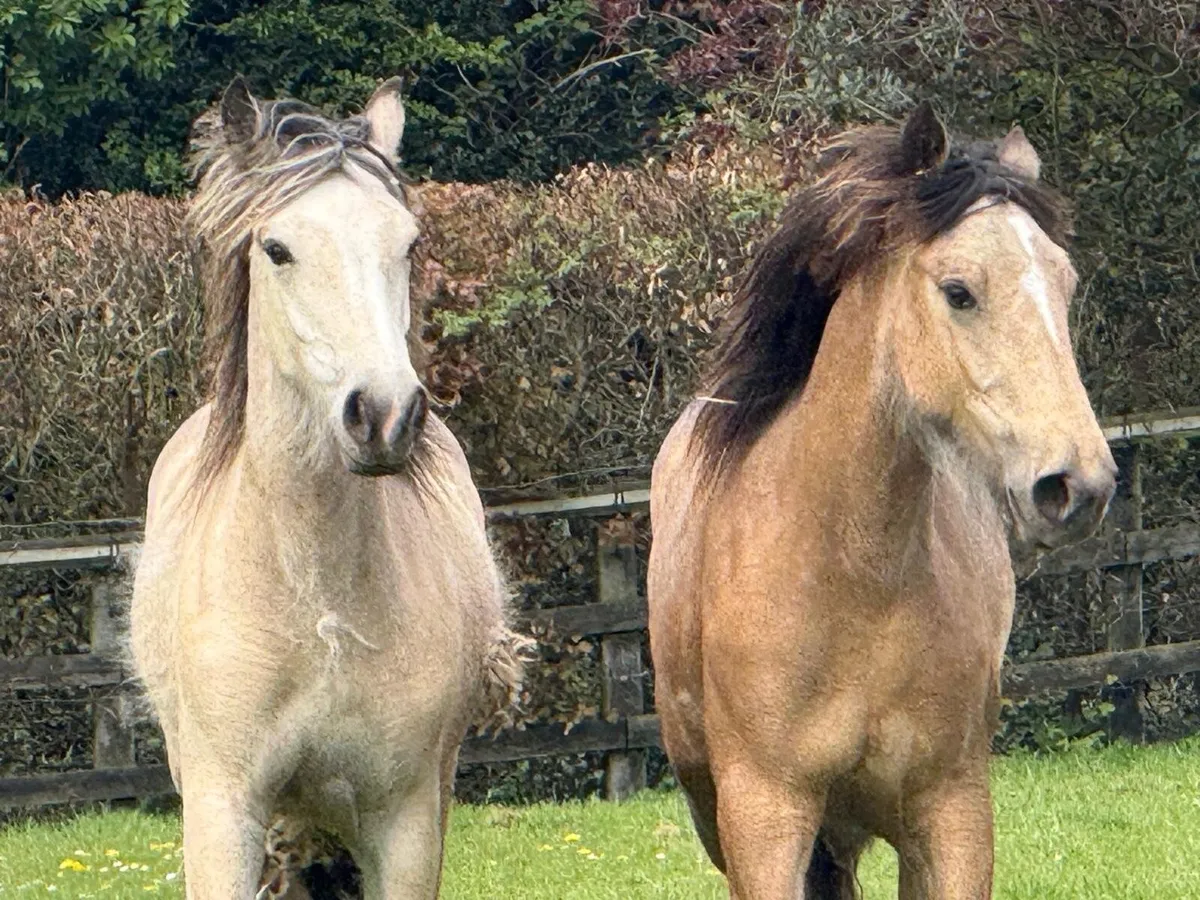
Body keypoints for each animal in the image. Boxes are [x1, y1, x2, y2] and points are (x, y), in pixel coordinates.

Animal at [129, 77, 525, 900]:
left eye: (408, 243)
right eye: (277, 248)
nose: (385, 414)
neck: (316, 603)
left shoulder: (405, 823)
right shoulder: (222, 813)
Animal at [647, 103, 1116, 900]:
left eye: (1065, 283)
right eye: (959, 290)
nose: (1076, 485)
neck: (856, 578)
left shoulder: (951, 813)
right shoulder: (764, 820)